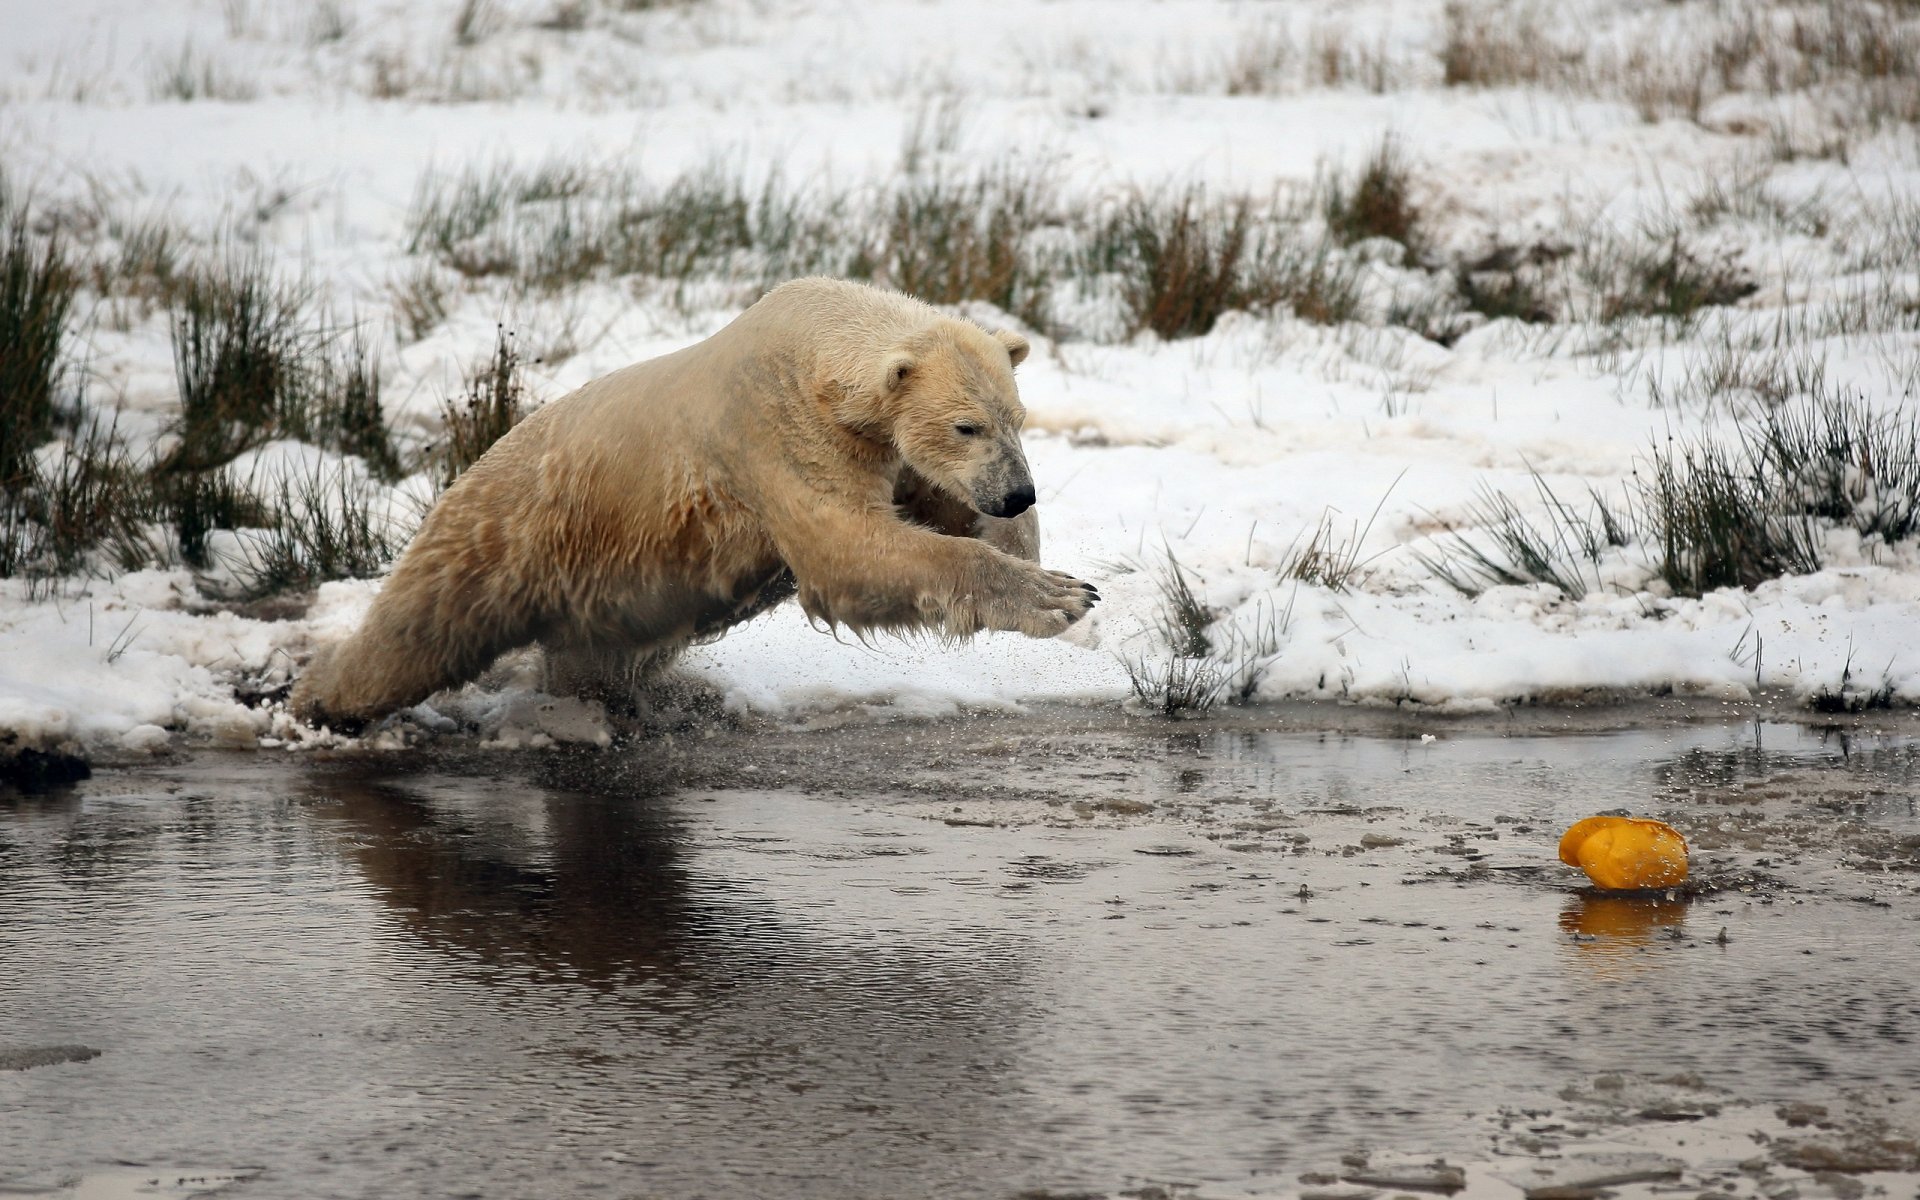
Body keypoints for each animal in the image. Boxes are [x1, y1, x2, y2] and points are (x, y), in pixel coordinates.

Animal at [291, 277, 1098, 729]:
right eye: (966, 425)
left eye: (1015, 417)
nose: (1017, 490)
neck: (814, 343)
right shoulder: (777, 432)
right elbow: (848, 552)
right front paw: (1062, 597)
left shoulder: (881, 448)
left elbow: (934, 507)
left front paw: (1036, 557)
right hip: (503, 537)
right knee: (416, 633)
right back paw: (317, 702)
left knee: (589, 658)